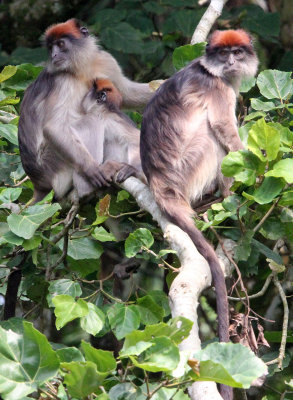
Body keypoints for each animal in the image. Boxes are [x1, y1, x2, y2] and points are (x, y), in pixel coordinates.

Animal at [18, 18, 152, 203]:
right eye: (51, 48)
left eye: (60, 44)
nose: (54, 56)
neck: (80, 68)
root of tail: (39, 184)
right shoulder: (63, 79)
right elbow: (53, 127)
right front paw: (94, 170)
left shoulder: (104, 59)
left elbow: (126, 93)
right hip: (55, 168)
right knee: (95, 118)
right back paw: (87, 187)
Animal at [140, 28, 256, 388]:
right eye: (223, 54)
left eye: (236, 52)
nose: (231, 61)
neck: (211, 72)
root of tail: (160, 184)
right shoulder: (218, 90)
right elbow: (225, 131)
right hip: (193, 165)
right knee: (215, 140)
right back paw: (226, 196)